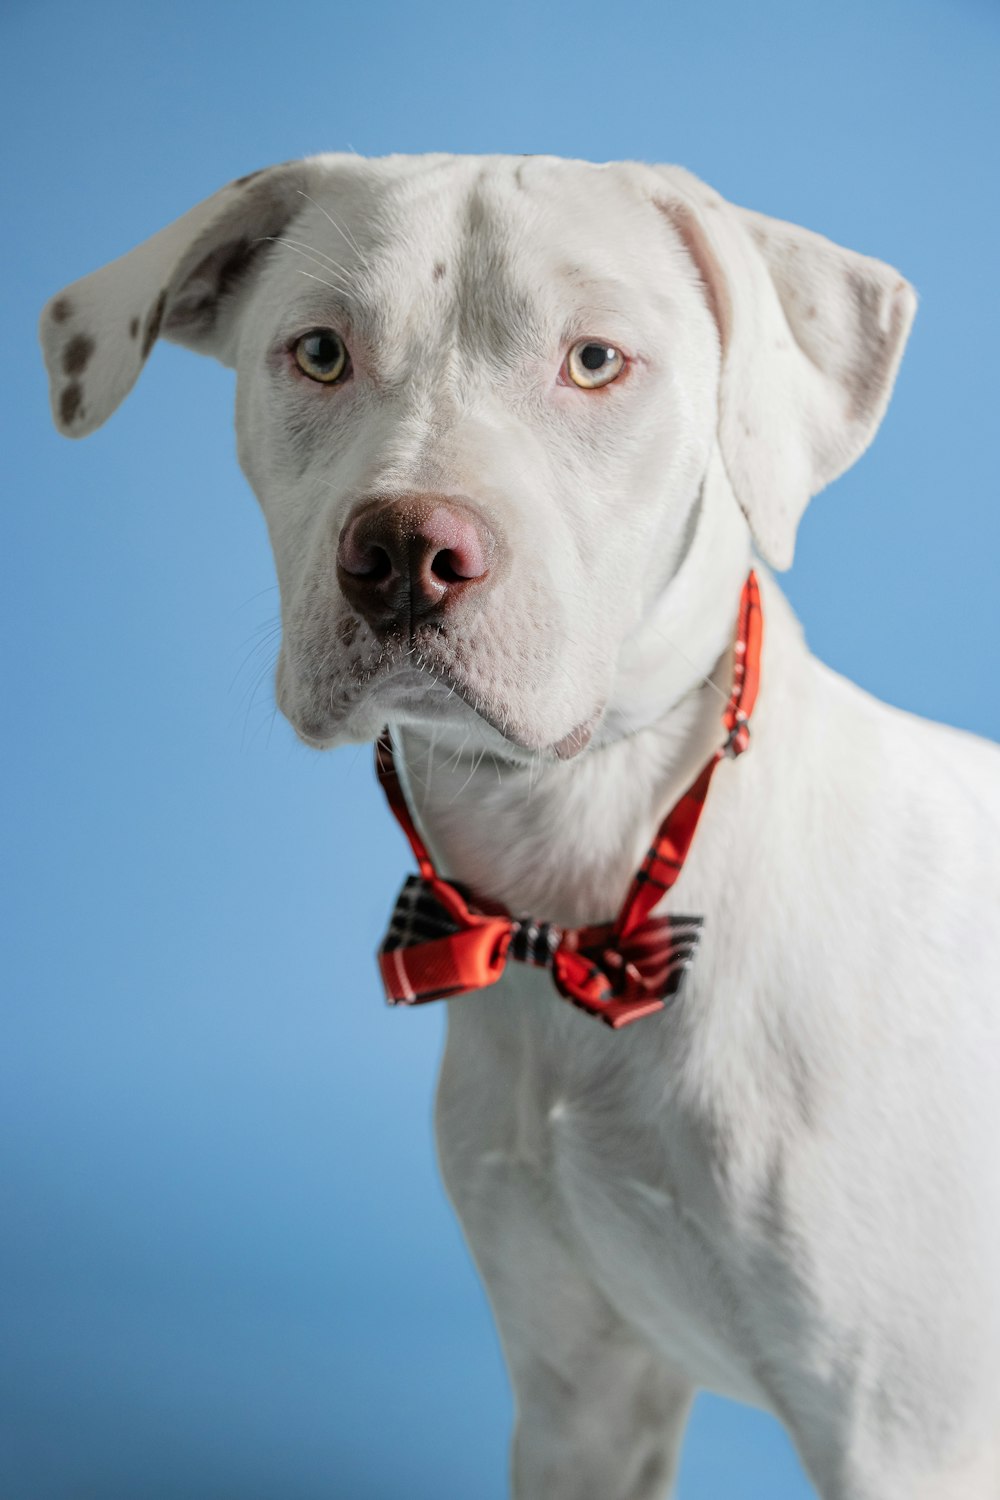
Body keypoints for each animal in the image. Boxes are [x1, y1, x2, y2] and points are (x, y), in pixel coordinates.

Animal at [39, 158, 1000, 1494]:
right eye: (320, 352)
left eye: (594, 362)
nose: (403, 553)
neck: (584, 884)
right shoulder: (578, 1395)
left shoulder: (906, 1437)